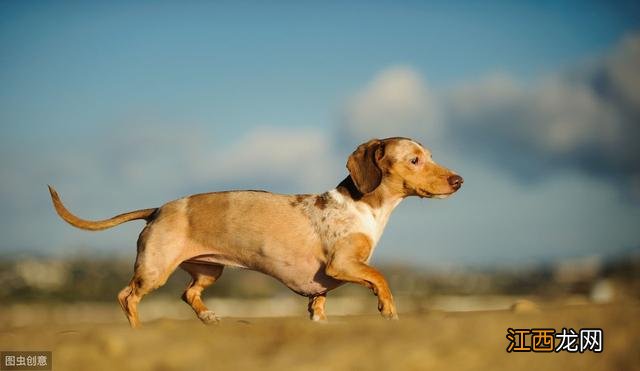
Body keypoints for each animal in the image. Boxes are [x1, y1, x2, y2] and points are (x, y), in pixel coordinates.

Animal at [48, 137, 460, 328]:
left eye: (430, 155)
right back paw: (138, 328)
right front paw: (387, 308)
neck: (363, 207)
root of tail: (158, 209)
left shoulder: (321, 290)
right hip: (154, 269)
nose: (459, 180)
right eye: (414, 159)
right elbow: (380, 276)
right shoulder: (343, 264)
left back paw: (208, 317)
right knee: (126, 296)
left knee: (188, 293)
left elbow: (319, 308)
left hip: (209, 270)